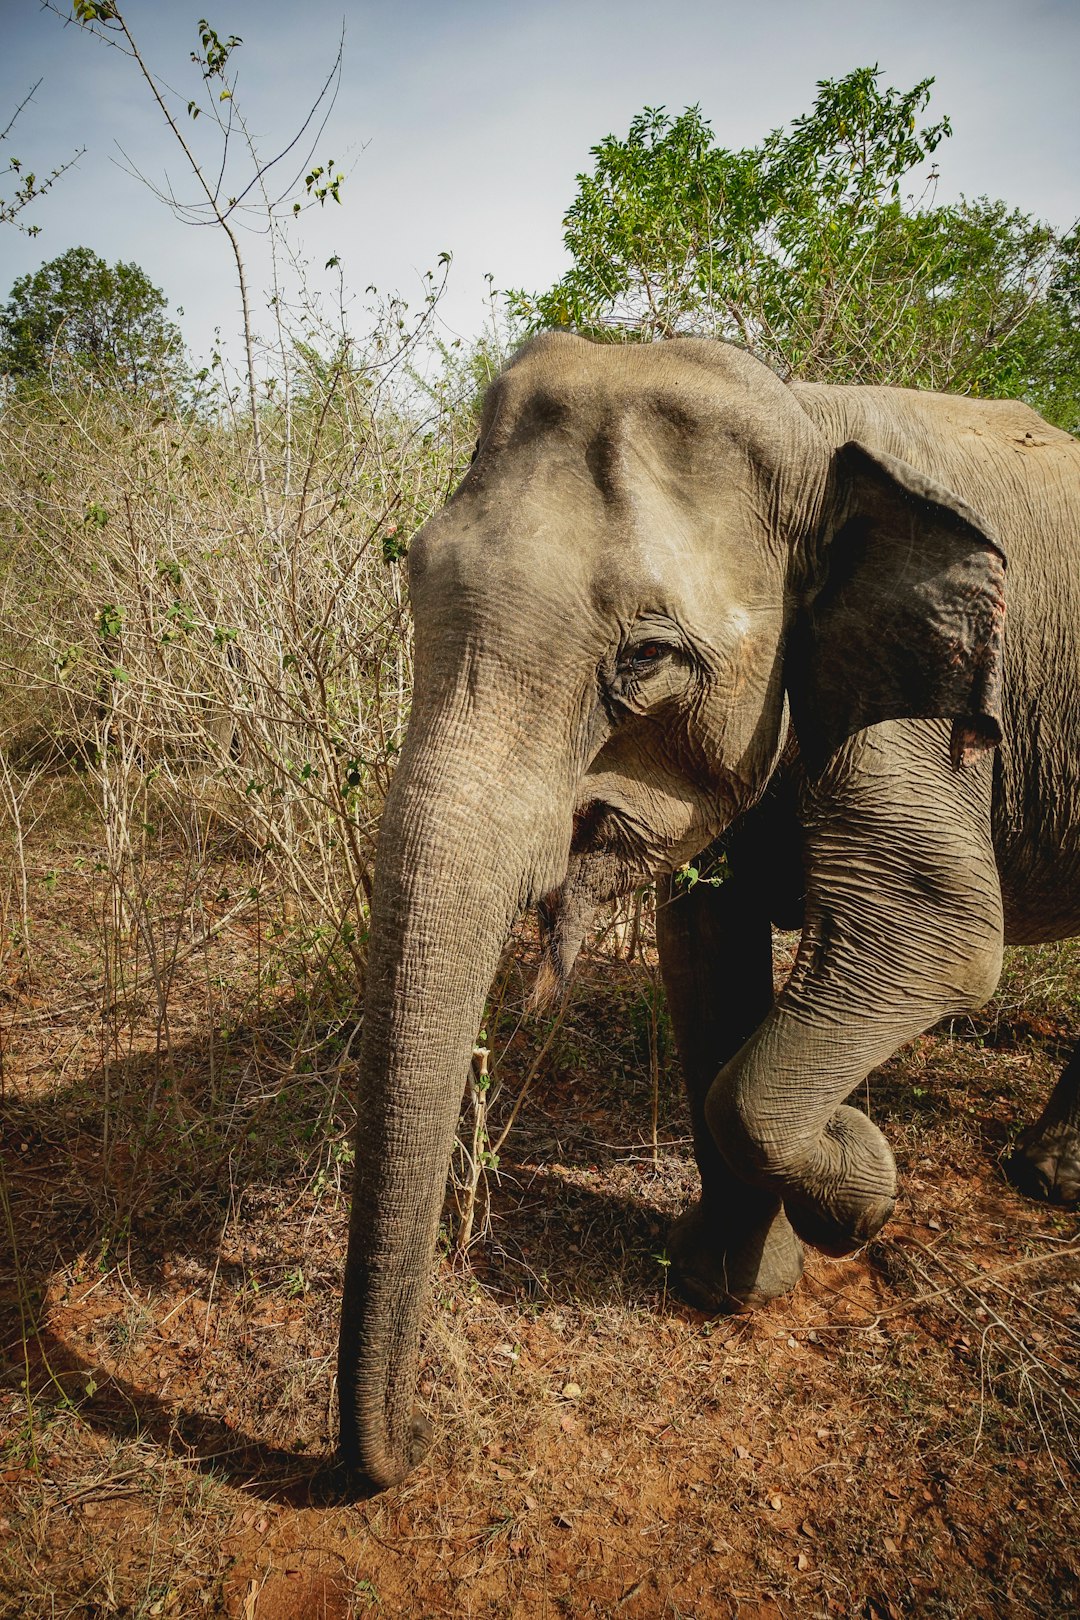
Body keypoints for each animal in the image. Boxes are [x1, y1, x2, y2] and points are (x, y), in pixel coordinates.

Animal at [338, 335, 1080, 1483]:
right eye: (413, 584)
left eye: (646, 657)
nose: (410, 1451)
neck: (805, 418)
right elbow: (704, 954)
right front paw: (723, 1285)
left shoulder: (921, 721)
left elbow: (939, 938)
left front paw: (862, 1183)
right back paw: (1041, 1175)